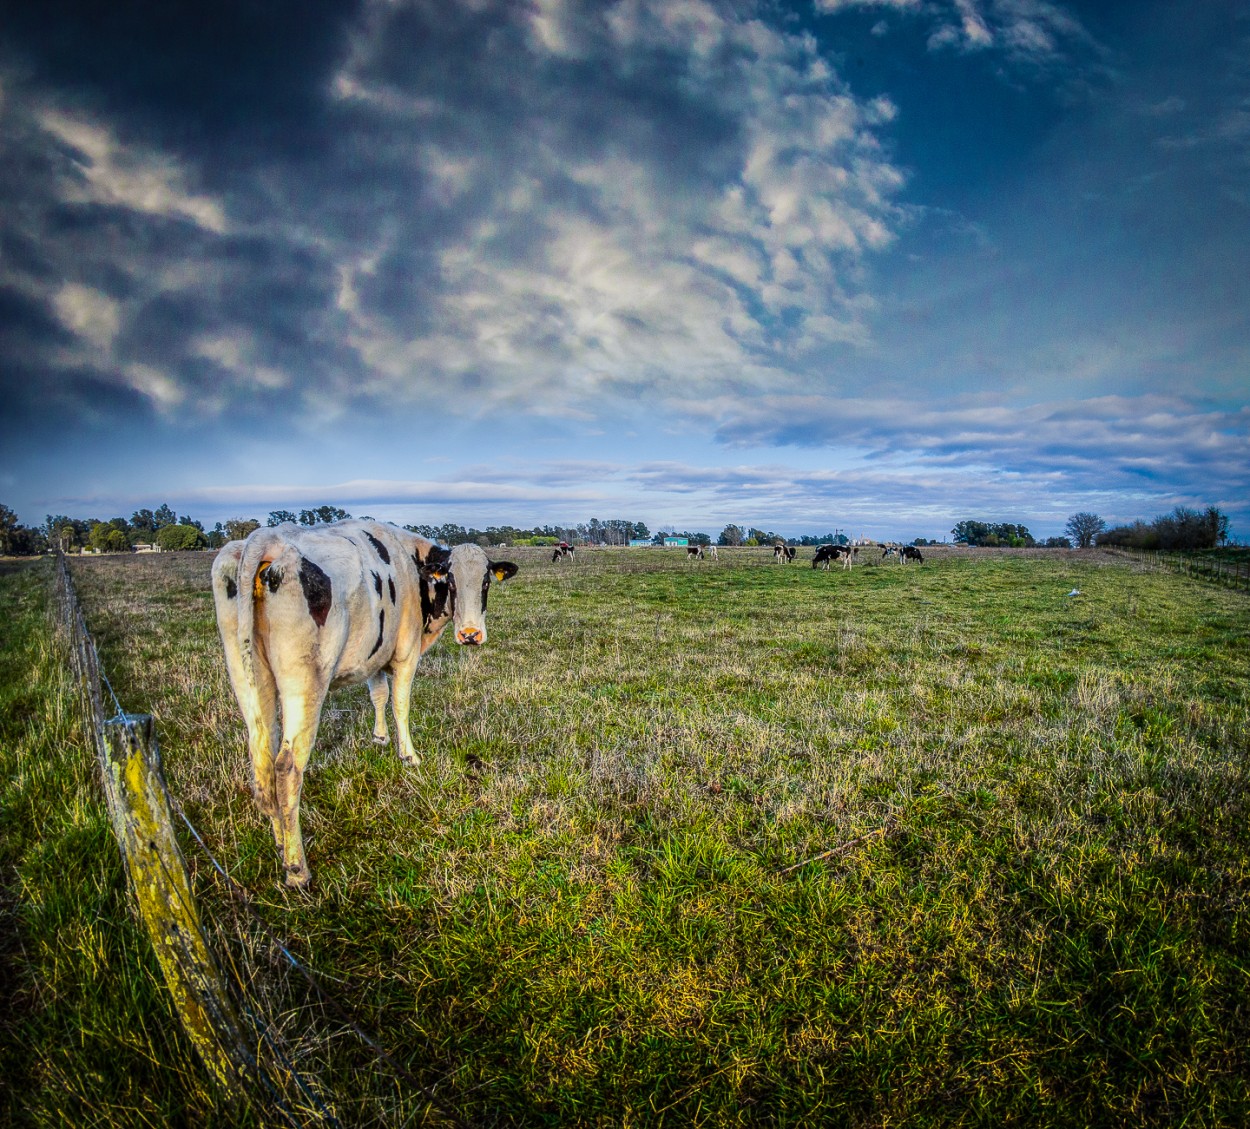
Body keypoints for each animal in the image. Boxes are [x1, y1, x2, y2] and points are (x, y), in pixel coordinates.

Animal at [212, 522, 515, 890]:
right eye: (451, 582)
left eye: (485, 582)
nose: (470, 634)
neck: (410, 561)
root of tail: (268, 538)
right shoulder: (405, 653)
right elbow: (400, 703)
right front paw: (408, 754)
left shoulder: (375, 654)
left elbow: (378, 695)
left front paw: (380, 738)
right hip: (305, 683)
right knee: (286, 768)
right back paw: (297, 870)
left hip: (249, 681)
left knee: (263, 762)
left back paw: (282, 844)